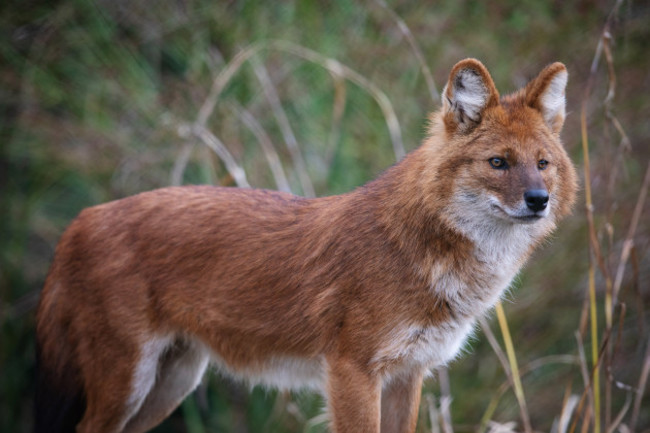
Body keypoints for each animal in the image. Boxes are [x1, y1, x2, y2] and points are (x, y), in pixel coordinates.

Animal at [33, 60, 576, 432]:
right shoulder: (352, 371)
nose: (539, 200)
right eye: (498, 162)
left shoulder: (408, 375)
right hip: (127, 382)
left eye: (542, 163)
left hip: (171, 384)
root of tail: (82, 220)